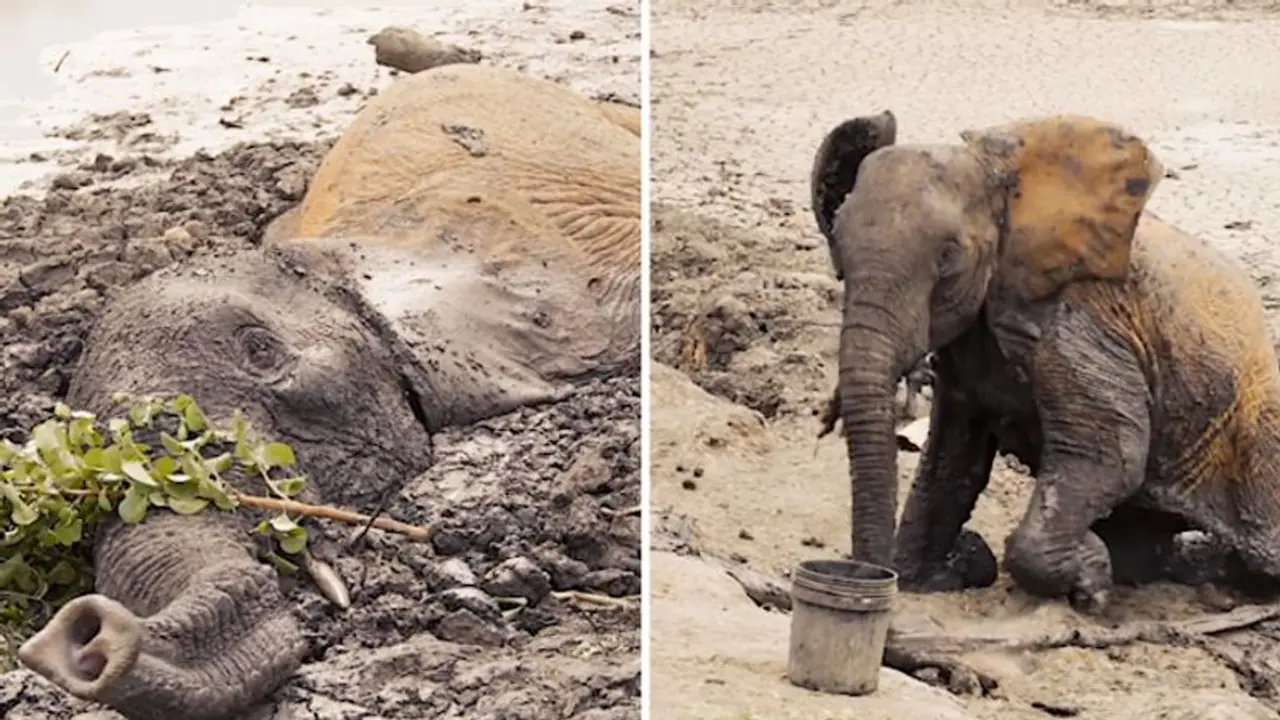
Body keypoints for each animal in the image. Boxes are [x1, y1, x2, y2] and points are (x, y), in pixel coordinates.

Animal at [810, 109, 1280, 615]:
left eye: (948, 258)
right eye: (837, 249)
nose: (870, 585)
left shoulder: (1079, 322)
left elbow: (1110, 456)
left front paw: (1091, 581)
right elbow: (951, 456)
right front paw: (938, 572)